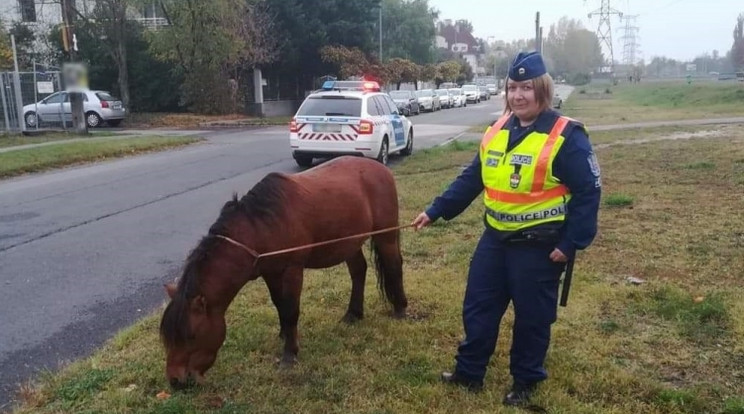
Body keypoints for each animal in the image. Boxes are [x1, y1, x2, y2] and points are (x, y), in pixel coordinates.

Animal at [159, 155, 410, 388]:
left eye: (191, 336)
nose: (175, 380)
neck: (260, 226)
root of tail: (380, 168)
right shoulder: (270, 272)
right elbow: (279, 304)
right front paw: (284, 335)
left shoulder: (292, 270)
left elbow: (290, 309)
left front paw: (290, 354)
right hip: (349, 243)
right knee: (358, 271)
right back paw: (353, 314)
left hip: (386, 235)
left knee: (394, 266)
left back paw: (400, 309)